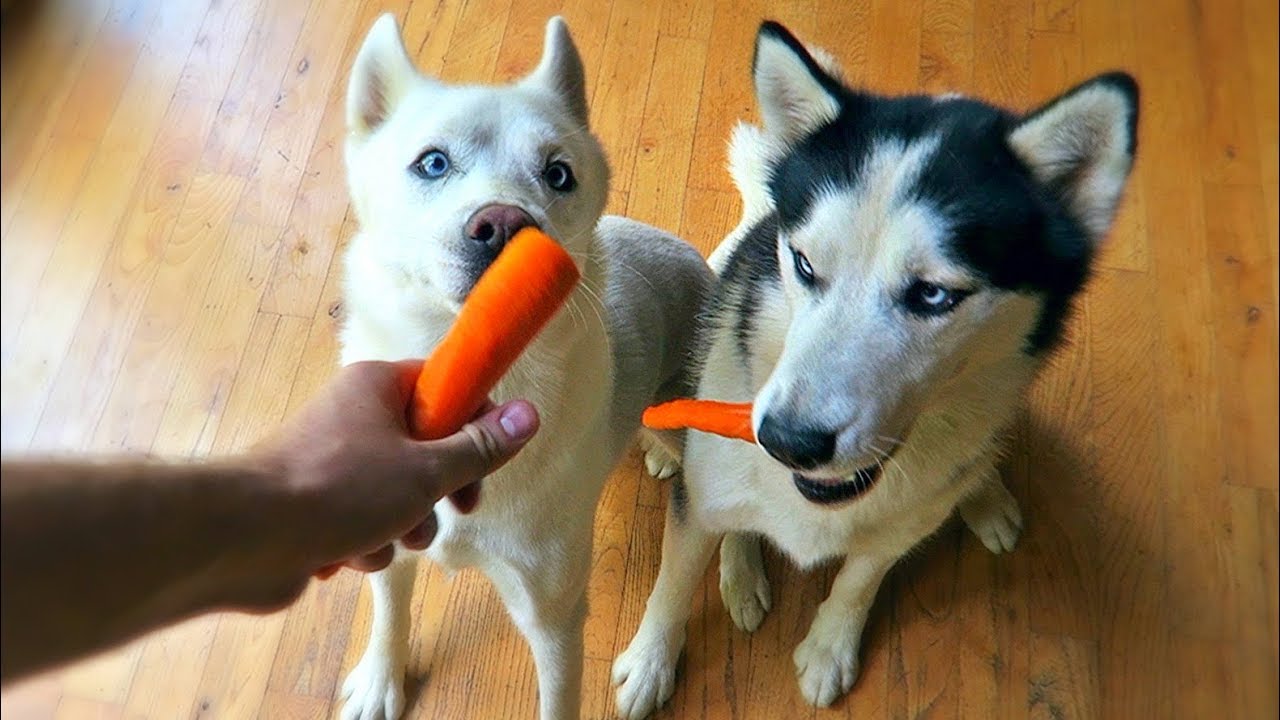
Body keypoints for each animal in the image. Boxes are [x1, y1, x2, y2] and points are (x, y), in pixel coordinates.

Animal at [335, 16, 716, 717]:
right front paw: (380, 682)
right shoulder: (395, 543)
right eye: (432, 163)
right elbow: (389, 612)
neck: (480, 372)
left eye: (558, 174)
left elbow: (557, 697)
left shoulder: (554, 614)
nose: (504, 223)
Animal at [611, 19, 1141, 712]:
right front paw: (650, 665)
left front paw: (829, 648)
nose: (787, 441)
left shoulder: (901, 523)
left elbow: (860, 579)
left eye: (934, 295)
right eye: (805, 263)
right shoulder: (701, 498)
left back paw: (986, 497)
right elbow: (673, 583)